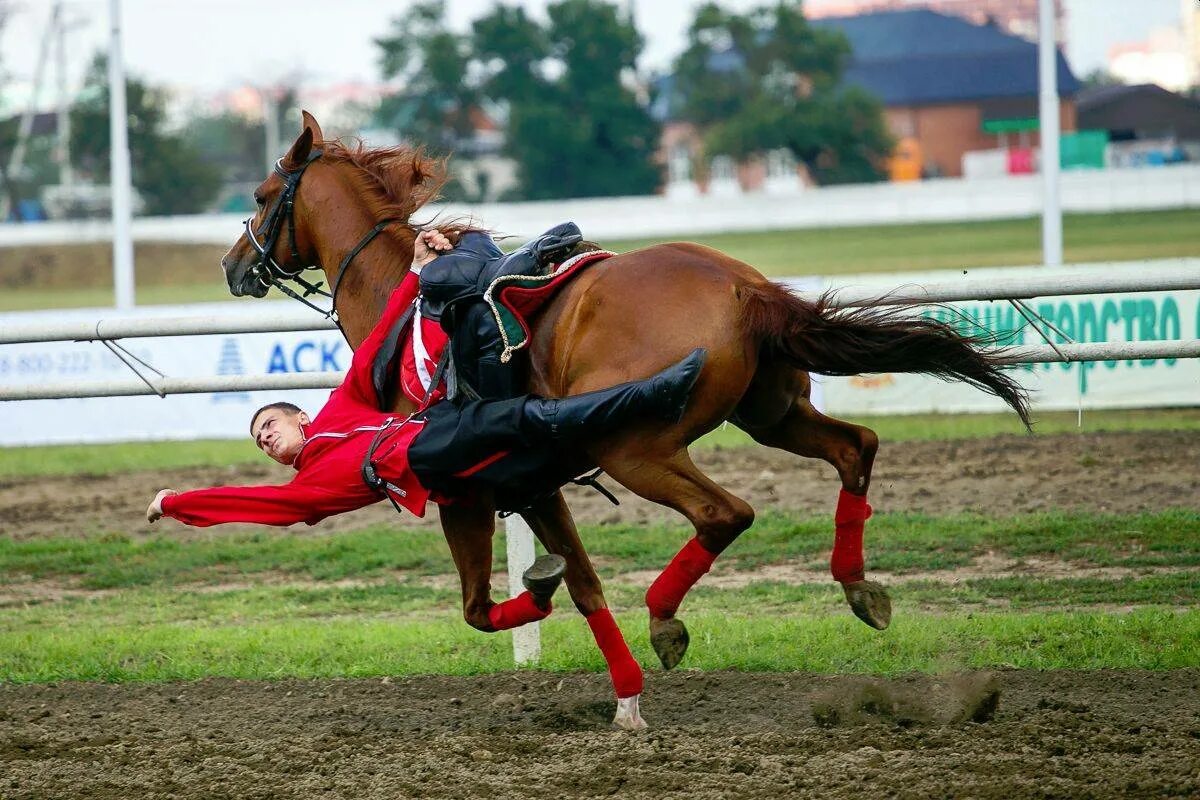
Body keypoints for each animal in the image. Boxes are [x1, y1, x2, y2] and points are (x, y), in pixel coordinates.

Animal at [220, 113, 1027, 734]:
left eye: (261, 195)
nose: (232, 265)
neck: (408, 298)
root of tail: (742, 287)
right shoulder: (532, 486)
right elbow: (581, 586)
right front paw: (625, 700)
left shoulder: (486, 488)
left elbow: (531, 596)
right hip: (772, 413)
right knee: (855, 447)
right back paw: (859, 587)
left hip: (636, 450)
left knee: (727, 513)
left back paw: (668, 618)